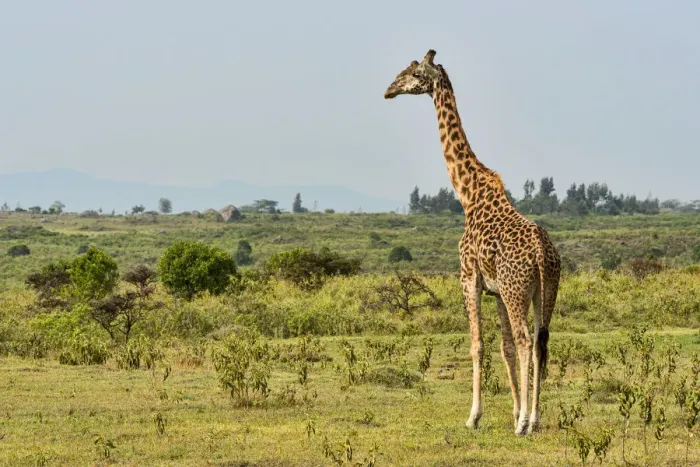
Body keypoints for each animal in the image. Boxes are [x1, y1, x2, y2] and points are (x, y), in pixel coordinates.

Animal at [384, 50, 561, 436]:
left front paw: (474, 416)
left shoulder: (469, 278)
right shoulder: (496, 290)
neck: (468, 193)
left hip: (517, 289)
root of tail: (543, 254)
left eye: (415, 73)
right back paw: (534, 418)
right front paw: (513, 411)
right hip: (544, 289)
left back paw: (525, 423)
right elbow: (503, 346)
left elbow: (477, 345)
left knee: (527, 341)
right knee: (539, 342)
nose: (389, 90)